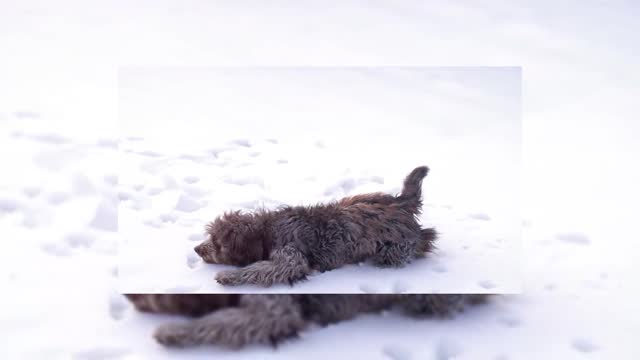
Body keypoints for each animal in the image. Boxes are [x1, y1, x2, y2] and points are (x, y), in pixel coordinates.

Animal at [192, 166, 438, 286]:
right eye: (210, 237)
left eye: (217, 243)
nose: (197, 249)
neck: (267, 230)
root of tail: (401, 205)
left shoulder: (290, 257)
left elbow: (259, 270)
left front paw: (229, 276)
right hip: (357, 198)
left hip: (394, 250)